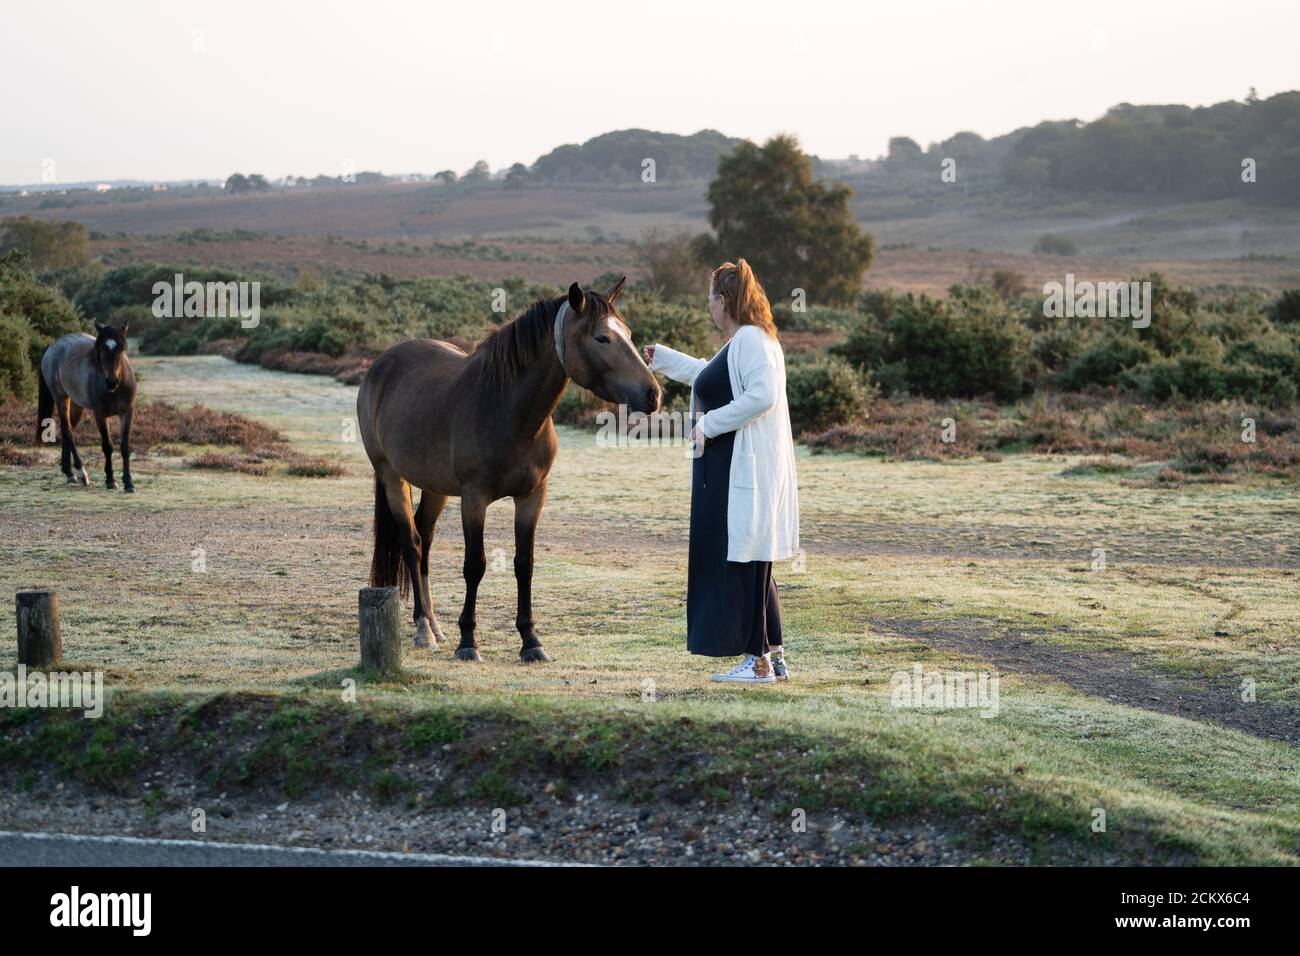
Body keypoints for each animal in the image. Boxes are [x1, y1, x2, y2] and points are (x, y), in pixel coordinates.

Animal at [37, 321, 137, 492]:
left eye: (122, 348)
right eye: (101, 349)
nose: (111, 382)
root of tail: (52, 345)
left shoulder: (127, 412)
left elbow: (125, 447)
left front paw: (128, 483)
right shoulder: (100, 414)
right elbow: (107, 446)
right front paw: (110, 480)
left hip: (77, 405)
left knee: (67, 430)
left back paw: (69, 473)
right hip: (61, 398)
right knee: (68, 431)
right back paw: (81, 473)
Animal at [358, 278, 660, 662]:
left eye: (630, 334)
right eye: (602, 338)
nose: (653, 394)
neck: (508, 410)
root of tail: (382, 362)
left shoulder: (532, 496)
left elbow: (524, 564)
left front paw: (531, 641)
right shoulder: (474, 499)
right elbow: (475, 565)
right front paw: (468, 642)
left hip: (435, 486)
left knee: (424, 539)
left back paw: (434, 625)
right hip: (391, 475)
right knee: (411, 543)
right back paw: (424, 629)